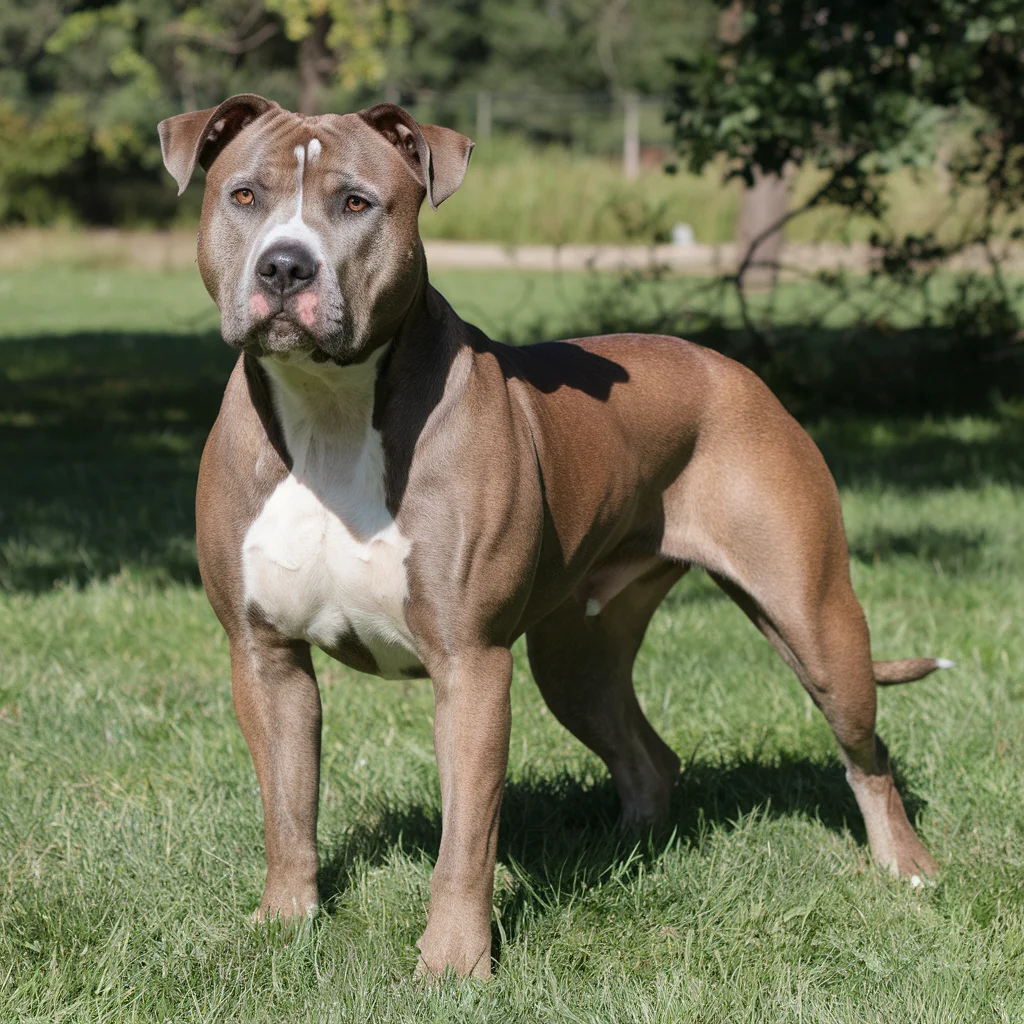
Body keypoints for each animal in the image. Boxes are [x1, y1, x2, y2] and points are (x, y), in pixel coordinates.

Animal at [155, 97, 946, 983]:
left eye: (356, 202)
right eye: (244, 196)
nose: (285, 268)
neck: (329, 406)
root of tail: (733, 370)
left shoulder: (470, 664)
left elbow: (465, 841)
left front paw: (453, 964)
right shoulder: (266, 656)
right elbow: (288, 811)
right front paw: (283, 924)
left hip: (814, 619)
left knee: (867, 754)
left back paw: (908, 869)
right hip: (576, 655)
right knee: (646, 755)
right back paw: (629, 854)